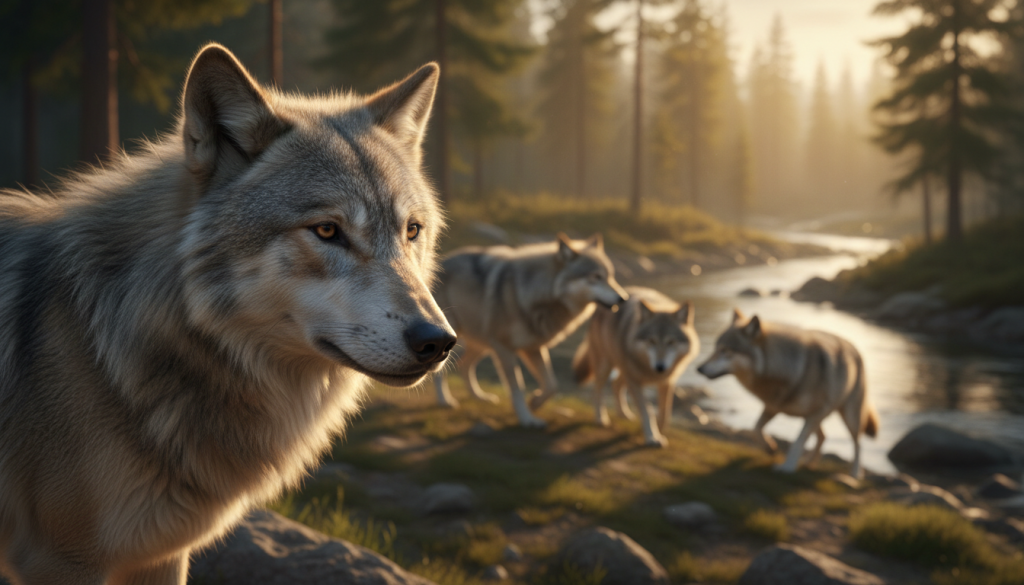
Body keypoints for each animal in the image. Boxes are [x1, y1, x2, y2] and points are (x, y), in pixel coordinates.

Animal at [432, 234, 627, 427]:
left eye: (611, 277)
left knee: (464, 365)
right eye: (596, 276)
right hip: (460, 342)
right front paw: (526, 418)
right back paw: (444, 401)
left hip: (482, 345)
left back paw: (479, 397)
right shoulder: (505, 348)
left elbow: (551, 385)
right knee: (442, 371)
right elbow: (517, 387)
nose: (623, 298)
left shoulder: (533, 347)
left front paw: (534, 403)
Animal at [573, 287, 698, 447]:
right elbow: (647, 411)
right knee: (597, 390)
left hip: (624, 370)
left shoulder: (667, 381)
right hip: (607, 366)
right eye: (651, 341)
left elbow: (665, 412)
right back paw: (601, 418)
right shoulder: (635, 381)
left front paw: (660, 430)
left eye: (671, 342)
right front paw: (652, 437)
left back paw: (624, 414)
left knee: (615, 384)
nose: (660, 367)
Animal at [696, 310, 879, 478]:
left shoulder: (816, 412)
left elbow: (798, 441)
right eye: (715, 348)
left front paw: (787, 467)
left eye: (725, 350)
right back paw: (810, 462)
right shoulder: (773, 406)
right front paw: (770, 448)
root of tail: (854, 347)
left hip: (849, 417)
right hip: (814, 417)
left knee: (858, 443)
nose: (699, 368)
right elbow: (756, 428)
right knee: (823, 437)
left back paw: (855, 474)